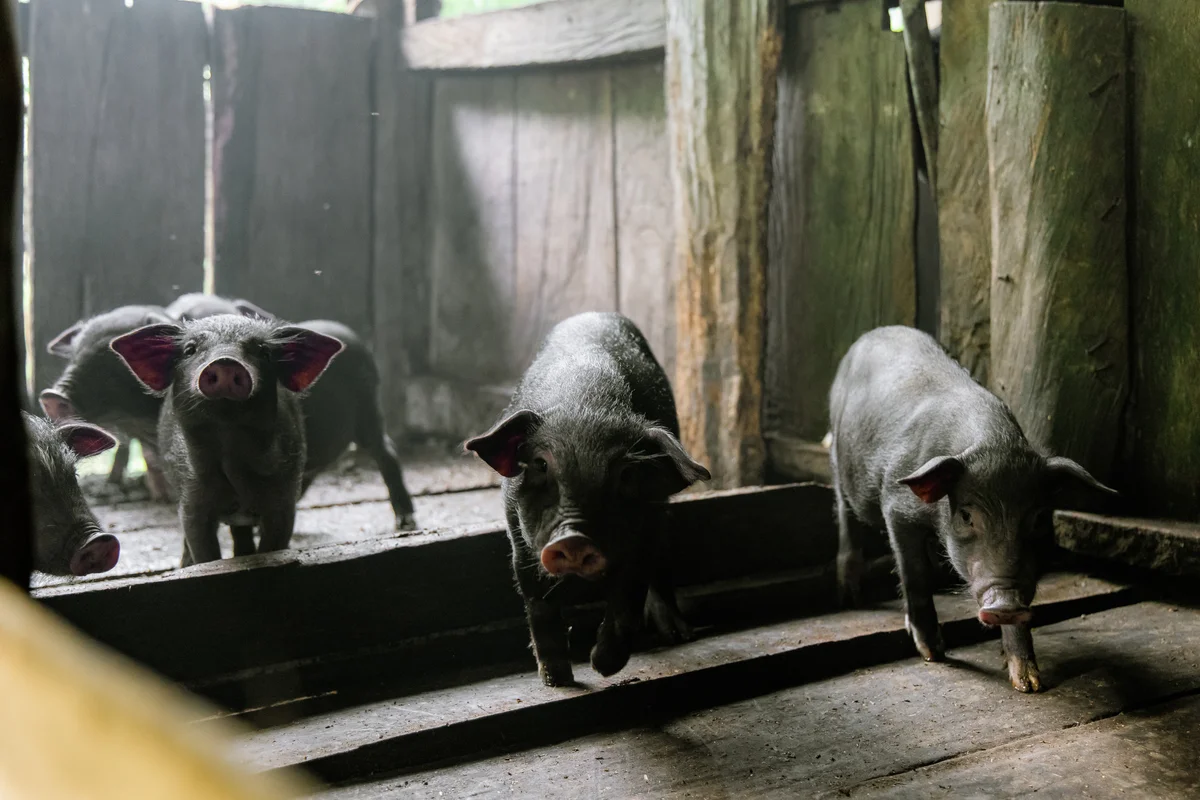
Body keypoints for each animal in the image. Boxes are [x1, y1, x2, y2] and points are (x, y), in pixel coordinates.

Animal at [110, 315, 343, 566]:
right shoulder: (192, 502)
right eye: (190, 349)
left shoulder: (284, 501)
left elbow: (274, 544)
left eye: (263, 351)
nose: (225, 361)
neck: (229, 453)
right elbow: (203, 552)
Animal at [465, 312, 710, 687]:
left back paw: (678, 634)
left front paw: (602, 667)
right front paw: (556, 681)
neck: (585, 401)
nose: (574, 537)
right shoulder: (516, 534)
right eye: (541, 464)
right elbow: (538, 602)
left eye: (626, 475)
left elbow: (628, 597)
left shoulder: (646, 531)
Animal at [829, 326, 1116, 693]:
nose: (1005, 602)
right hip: (839, 460)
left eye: (1038, 518)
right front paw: (934, 653)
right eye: (966, 516)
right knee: (844, 515)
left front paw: (1029, 684)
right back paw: (851, 598)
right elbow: (914, 574)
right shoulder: (896, 506)